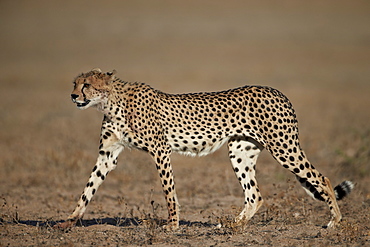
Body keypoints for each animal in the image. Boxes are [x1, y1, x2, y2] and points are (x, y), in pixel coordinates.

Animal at [56, 68, 354, 230]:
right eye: (74, 84)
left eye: (86, 85)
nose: (72, 96)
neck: (110, 102)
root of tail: (278, 92)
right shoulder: (108, 154)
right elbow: (88, 189)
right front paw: (69, 221)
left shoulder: (161, 151)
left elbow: (169, 192)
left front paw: (173, 225)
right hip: (240, 151)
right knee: (254, 195)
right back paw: (232, 225)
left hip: (283, 147)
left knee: (322, 178)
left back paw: (334, 221)